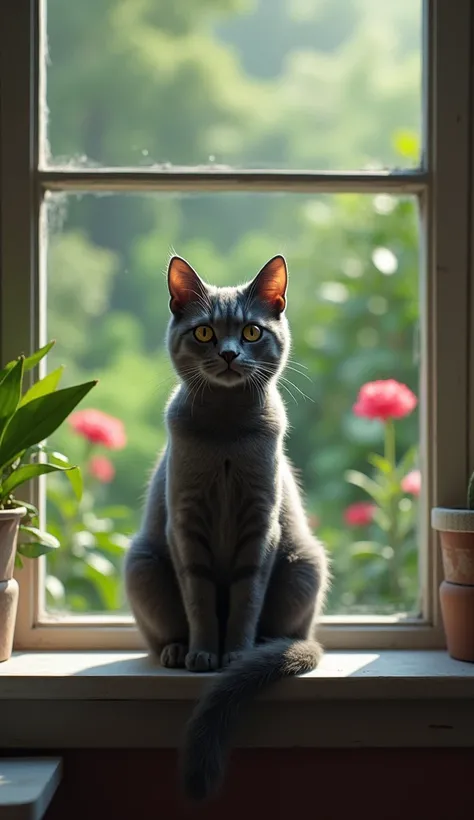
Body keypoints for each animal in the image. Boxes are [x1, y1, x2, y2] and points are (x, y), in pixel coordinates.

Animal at [124, 255, 328, 800]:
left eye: (252, 331)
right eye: (205, 332)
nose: (232, 353)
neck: (226, 434)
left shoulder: (260, 529)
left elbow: (244, 601)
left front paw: (233, 653)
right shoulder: (184, 525)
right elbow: (198, 600)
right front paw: (202, 653)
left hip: (304, 564)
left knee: (282, 628)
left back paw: (265, 649)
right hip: (143, 562)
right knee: (163, 632)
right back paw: (176, 651)